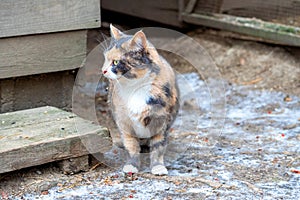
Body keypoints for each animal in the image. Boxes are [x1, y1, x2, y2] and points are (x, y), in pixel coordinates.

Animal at [102, 24, 179, 175]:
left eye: (116, 62)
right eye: (105, 59)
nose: (103, 70)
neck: (135, 88)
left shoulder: (162, 121)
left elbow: (158, 146)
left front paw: (158, 167)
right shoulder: (124, 122)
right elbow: (131, 145)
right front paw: (131, 165)